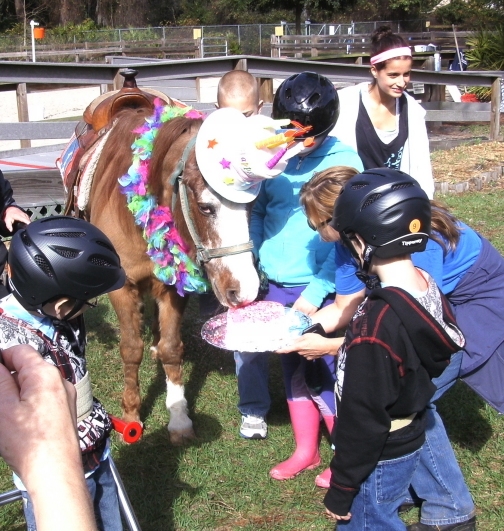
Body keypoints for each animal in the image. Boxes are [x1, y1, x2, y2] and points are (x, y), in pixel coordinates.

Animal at [84, 104, 258, 444]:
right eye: (205, 208)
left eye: (250, 208)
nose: (245, 290)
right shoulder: (121, 288)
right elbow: (130, 350)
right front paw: (131, 414)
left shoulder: (174, 285)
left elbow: (171, 348)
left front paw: (179, 417)